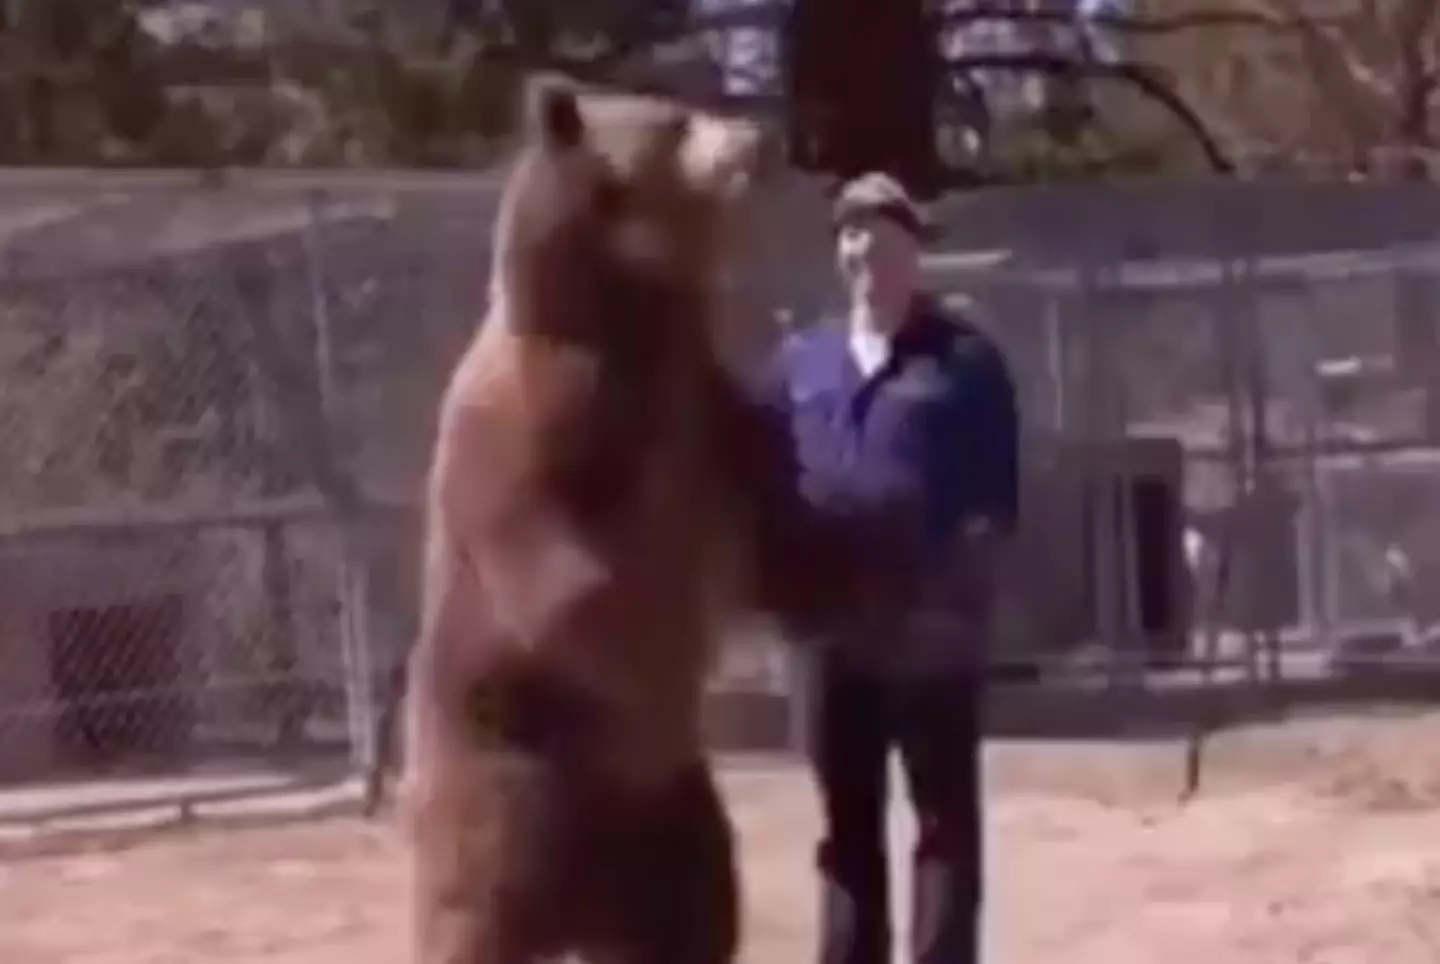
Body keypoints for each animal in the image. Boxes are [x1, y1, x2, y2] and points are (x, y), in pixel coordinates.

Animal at [400, 78, 857, 964]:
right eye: (677, 119)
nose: (763, 135)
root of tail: (581, 904)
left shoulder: (709, 411)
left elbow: (769, 530)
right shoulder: (547, 418)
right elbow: (567, 579)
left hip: (671, 819)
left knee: (690, 918)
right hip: (509, 789)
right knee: (474, 915)